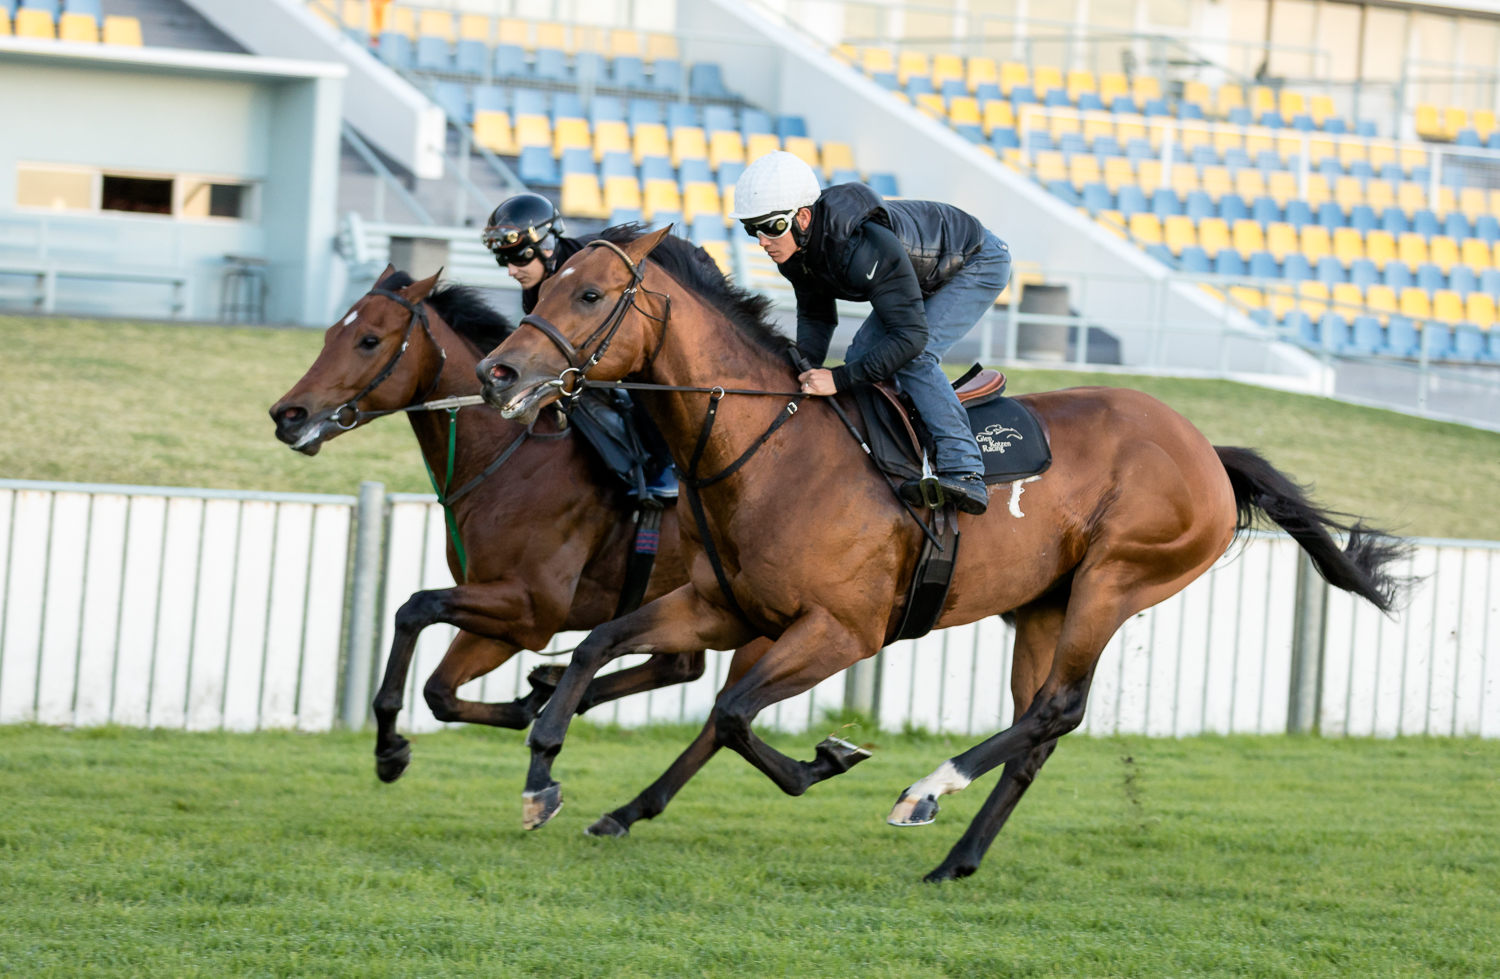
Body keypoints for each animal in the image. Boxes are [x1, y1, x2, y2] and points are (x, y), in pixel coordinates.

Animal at [264, 259, 768, 779]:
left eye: (369, 340)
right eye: (329, 334)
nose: (288, 415)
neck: (509, 454)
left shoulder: (531, 610)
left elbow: (416, 607)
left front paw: (392, 746)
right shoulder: (494, 604)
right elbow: (438, 689)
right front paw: (398, 745)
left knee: (722, 707)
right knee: (683, 668)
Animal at [471, 227, 1404, 875]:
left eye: (591, 294)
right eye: (546, 287)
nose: (497, 374)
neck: (774, 447)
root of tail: (1209, 450)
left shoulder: (844, 630)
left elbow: (731, 713)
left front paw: (827, 759)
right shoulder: (722, 605)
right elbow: (599, 646)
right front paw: (544, 773)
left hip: (1115, 582)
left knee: (1058, 709)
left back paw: (926, 791)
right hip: (1044, 603)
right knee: (1039, 728)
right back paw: (958, 857)